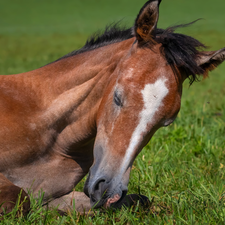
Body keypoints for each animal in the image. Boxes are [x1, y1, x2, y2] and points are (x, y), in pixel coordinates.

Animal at [0, 0, 225, 214]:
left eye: (166, 122)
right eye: (117, 97)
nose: (107, 190)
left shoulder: (53, 195)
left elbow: (139, 200)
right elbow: (18, 198)